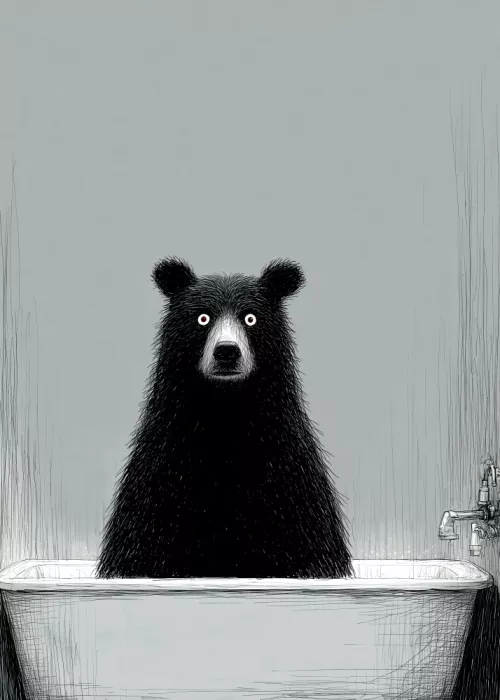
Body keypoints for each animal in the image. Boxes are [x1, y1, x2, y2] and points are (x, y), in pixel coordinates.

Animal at [96, 258, 353, 579]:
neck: (225, 415)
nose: (227, 352)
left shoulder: (289, 479)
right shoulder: (160, 476)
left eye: (251, 319)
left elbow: (307, 546)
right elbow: (143, 546)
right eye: (202, 318)